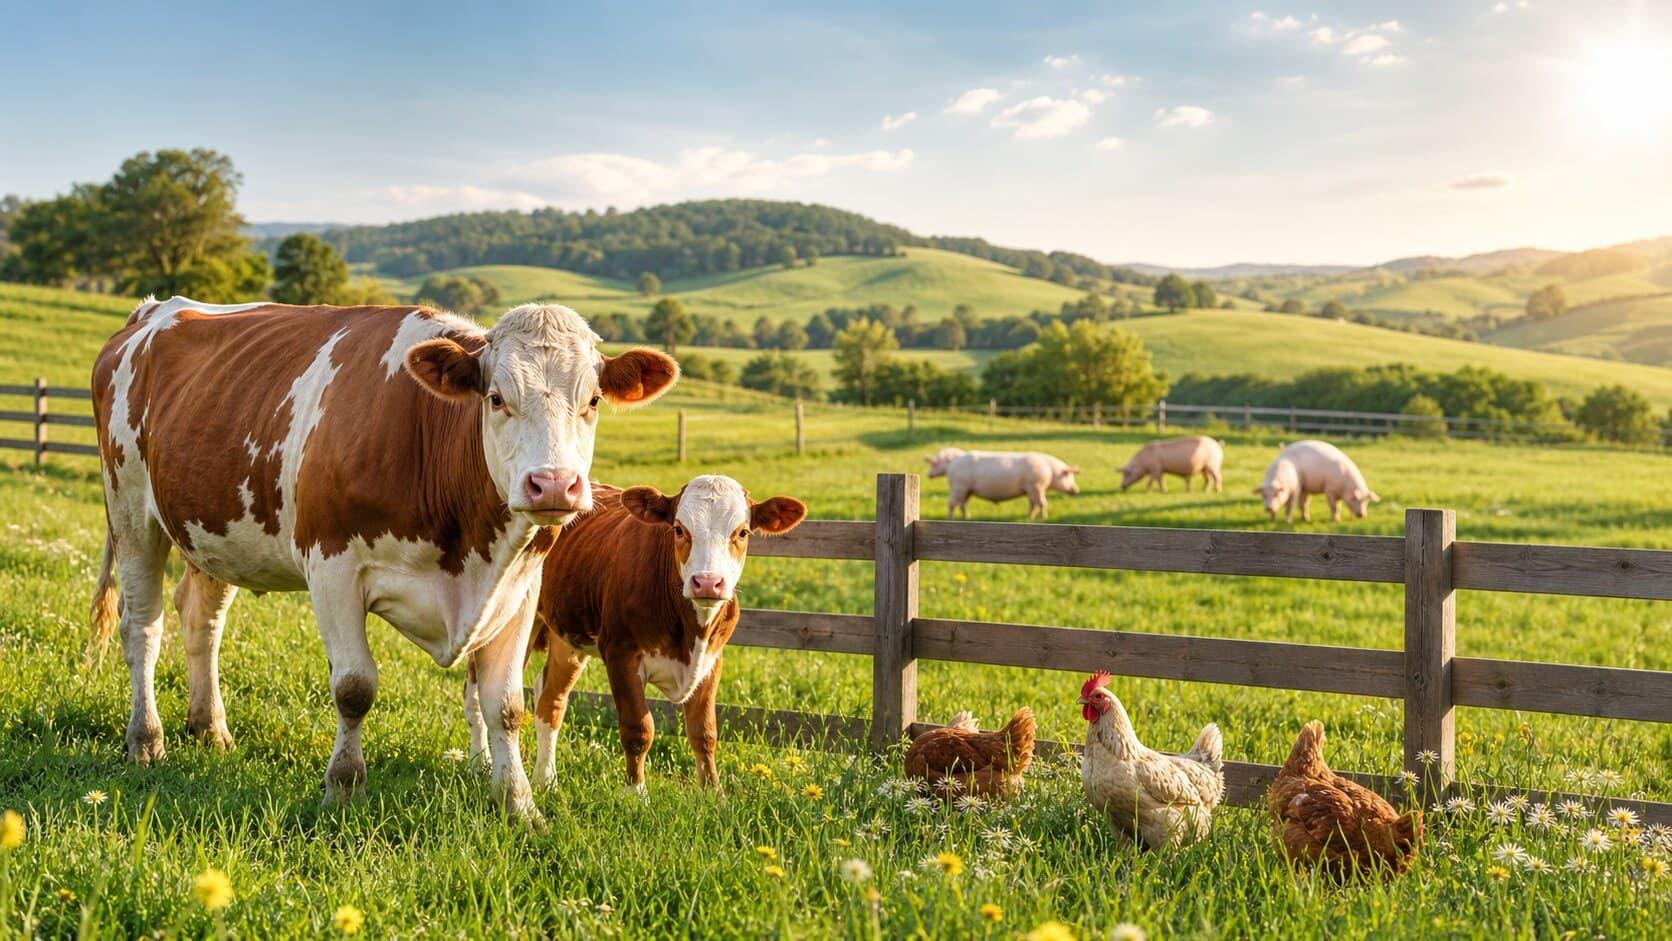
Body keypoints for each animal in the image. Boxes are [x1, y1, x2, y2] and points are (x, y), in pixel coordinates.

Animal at [89, 296, 677, 822]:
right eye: (495, 397)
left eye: (594, 400)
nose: (553, 484)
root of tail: (154, 310)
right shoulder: (332, 568)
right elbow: (354, 688)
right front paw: (344, 790)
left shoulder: (520, 588)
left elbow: (505, 705)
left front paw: (520, 806)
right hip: (130, 509)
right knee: (143, 627)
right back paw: (146, 739)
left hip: (216, 529)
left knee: (201, 623)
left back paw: (209, 728)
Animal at [463, 476, 805, 793]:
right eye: (679, 529)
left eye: (742, 532)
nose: (707, 583)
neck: (690, 628)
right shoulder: (621, 654)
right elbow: (638, 729)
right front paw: (635, 793)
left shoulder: (711, 661)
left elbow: (704, 732)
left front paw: (713, 794)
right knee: (477, 694)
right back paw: (481, 764)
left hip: (568, 639)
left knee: (551, 701)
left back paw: (546, 781)